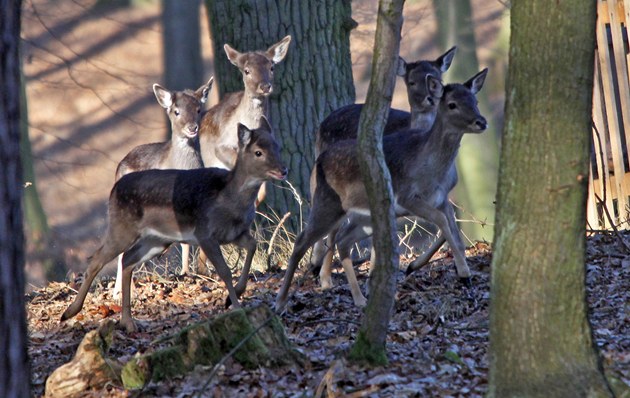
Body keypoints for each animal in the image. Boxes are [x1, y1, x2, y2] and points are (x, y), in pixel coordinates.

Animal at [60, 118, 288, 332]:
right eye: (258, 152)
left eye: (277, 146)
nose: (283, 169)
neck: (229, 201)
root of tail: (113, 189)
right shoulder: (204, 232)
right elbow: (224, 271)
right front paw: (236, 308)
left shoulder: (236, 233)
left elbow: (253, 245)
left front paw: (234, 296)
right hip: (122, 227)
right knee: (98, 258)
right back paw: (69, 312)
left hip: (157, 239)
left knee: (127, 259)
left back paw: (128, 322)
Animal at [111, 77, 215, 298]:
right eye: (176, 111)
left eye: (198, 109)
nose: (192, 127)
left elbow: (185, 239)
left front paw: (187, 273)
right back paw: (123, 290)